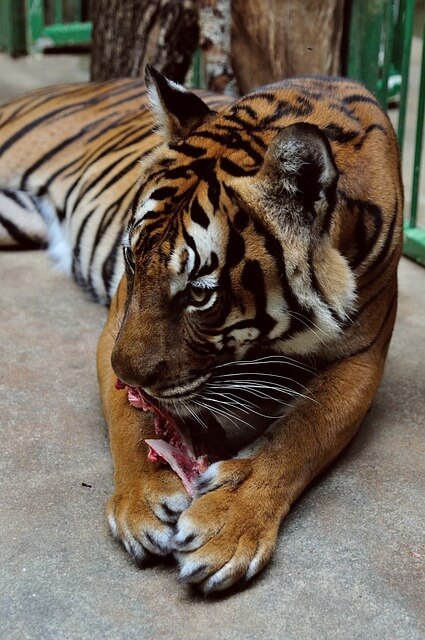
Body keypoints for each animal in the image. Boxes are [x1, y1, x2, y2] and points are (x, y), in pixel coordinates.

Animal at [0, 67, 402, 592]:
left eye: (199, 293)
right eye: (132, 259)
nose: (128, 376)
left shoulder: (361, 358)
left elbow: (299, 438)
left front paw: (227, 525)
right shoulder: (116, 326)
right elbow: (132, 420)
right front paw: (143, 501)